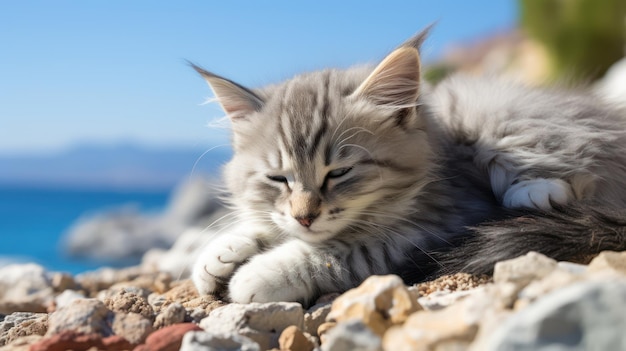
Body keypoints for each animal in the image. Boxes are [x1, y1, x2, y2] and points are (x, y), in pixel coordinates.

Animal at [189, 29, 624, 306]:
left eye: (339, 173)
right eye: (278, 178)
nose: (305, 217)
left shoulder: (431, 224)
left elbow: (332, 252)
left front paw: (255, 275)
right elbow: (266, 224)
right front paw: (221, 253)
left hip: (486, 111)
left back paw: (534, 193)